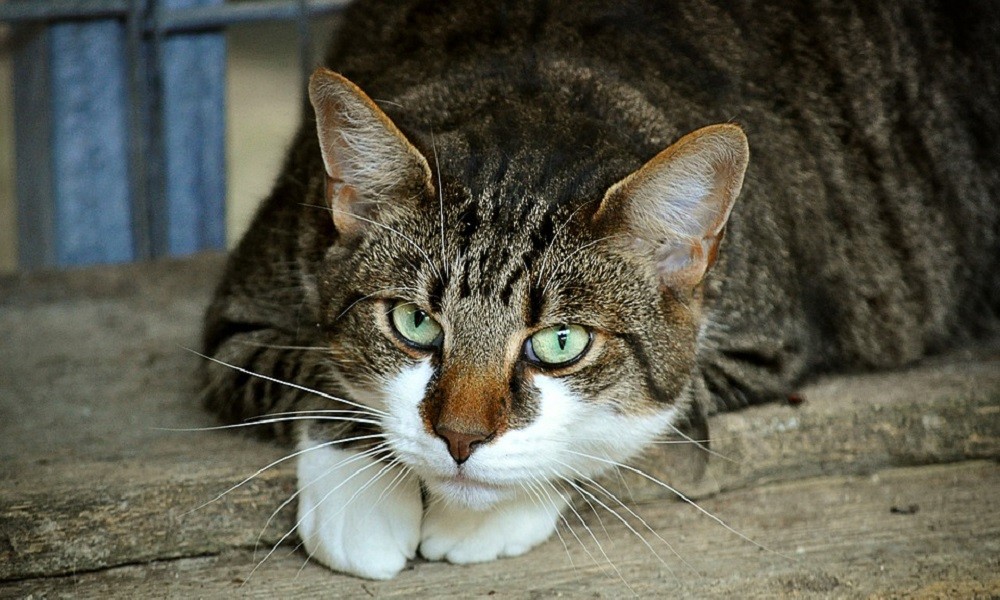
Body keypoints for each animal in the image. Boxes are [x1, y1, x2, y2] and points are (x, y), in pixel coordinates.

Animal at [197, 0, 1000, 580]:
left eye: (561, 343)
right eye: (414, 324)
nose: (459, 439)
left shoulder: (764, 343)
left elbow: (640, 419)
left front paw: (480, 519)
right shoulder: (244, 307)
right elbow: (310, 368)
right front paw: (361, 503)